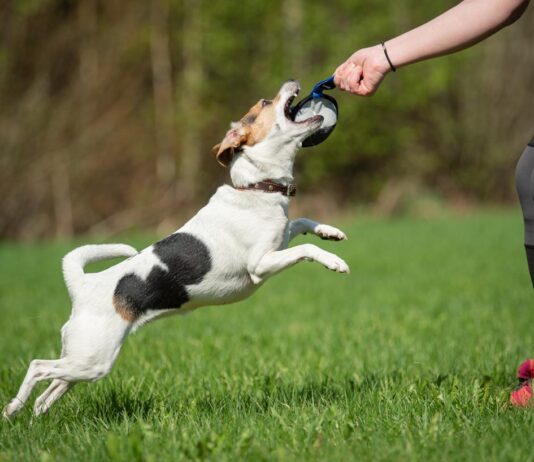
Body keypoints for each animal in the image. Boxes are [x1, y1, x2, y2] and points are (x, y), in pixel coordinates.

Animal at [3, 80, 352, 418]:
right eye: (265, 103)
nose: (292, 82)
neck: (257, 187)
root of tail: (82, 285)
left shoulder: (280, 239)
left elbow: (302, 223)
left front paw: (331, 232)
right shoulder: (261, 264)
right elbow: (306, 247)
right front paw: (334, 260)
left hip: (85, 361)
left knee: (48, 392)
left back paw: (35, 416)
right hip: (93, 358)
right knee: (36, 367)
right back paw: (12, 409)